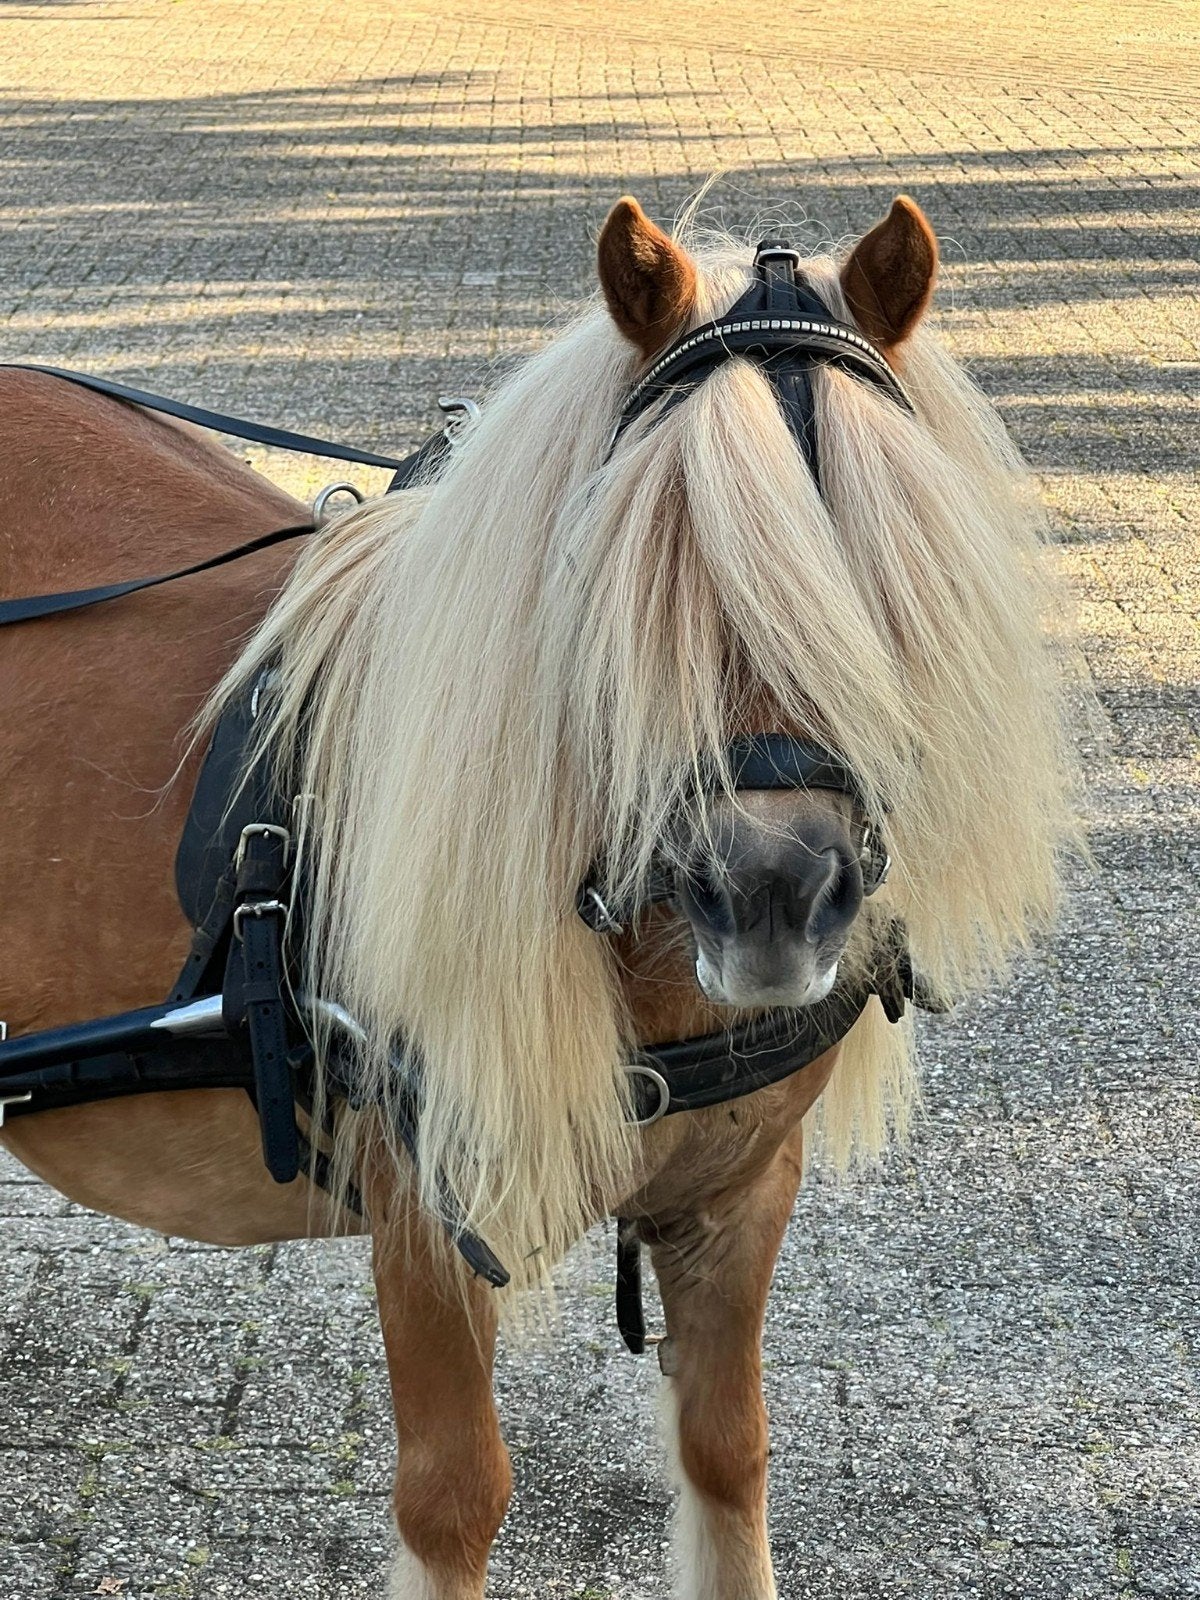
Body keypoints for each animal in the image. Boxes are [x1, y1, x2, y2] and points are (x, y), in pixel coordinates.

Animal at [0, 193, 1073, 1600]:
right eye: (638, 567)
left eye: (879, 566)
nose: (772, 892)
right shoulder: (428, 1213)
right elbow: (457, 1497)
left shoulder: (740, 1198)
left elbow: (728, 1454)